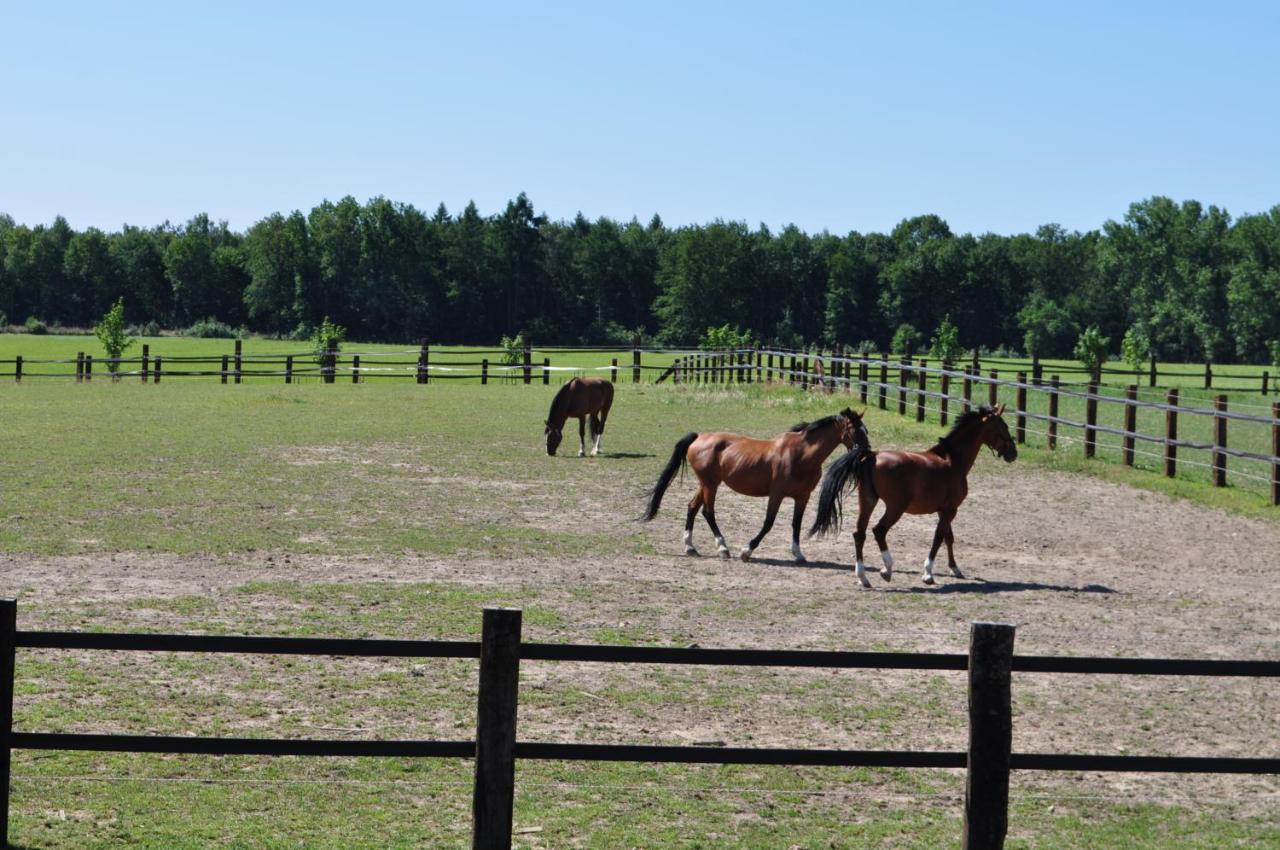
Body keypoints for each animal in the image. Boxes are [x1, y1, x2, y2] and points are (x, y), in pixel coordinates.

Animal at [640, 409, 870, 563]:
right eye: (856, 431)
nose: (867, 453)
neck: (801, 454)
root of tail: (699, 437)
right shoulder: (776, 494)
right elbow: (768, 523)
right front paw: (747, 551)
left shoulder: (802, 496)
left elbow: (796, 524)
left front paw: (798, 554)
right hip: (711, 485)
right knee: (707, 512)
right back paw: (722, 548)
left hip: (706, 483)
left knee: (692, 507)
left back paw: (690, 547)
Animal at [808, 404, 1018, 583]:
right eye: (1003, 426)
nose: (1013, 453)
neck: (952, 460)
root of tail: (871, 456)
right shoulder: (951, 510)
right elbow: (938, 538)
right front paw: (928, 573)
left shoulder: (944, 510)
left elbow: (948, 537)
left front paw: (954, 569)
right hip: (895, 508)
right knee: (879, 531)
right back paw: (887, 570)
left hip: (868, 501)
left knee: (859, 533)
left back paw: (863, 577)